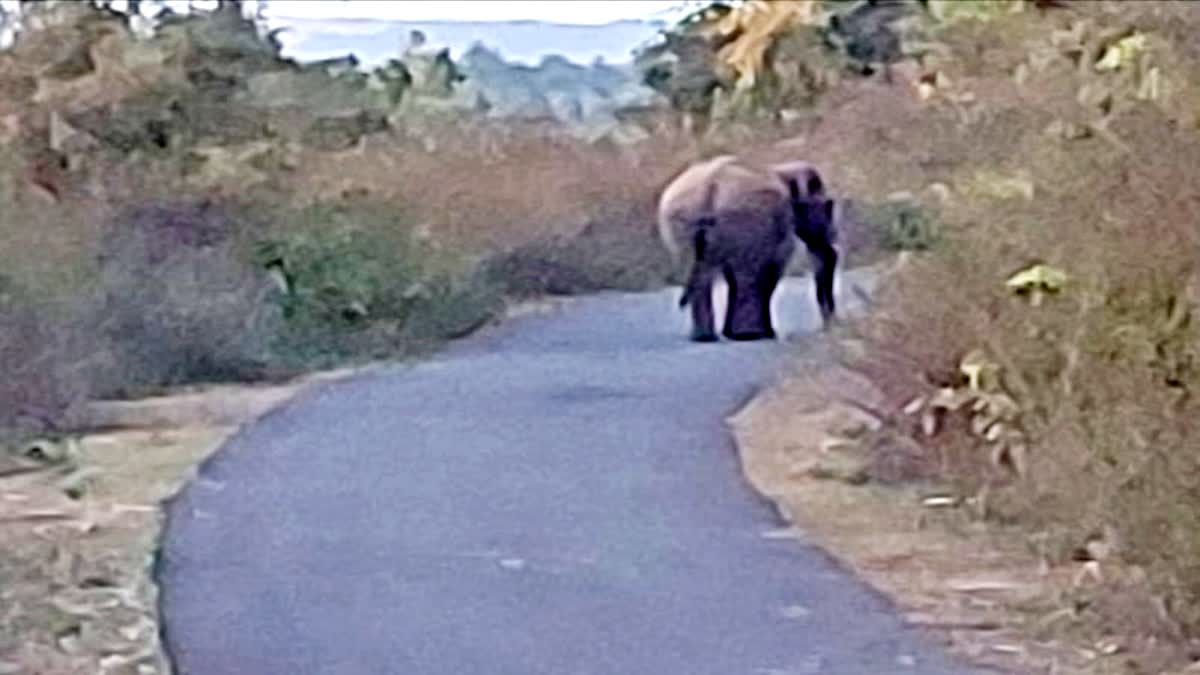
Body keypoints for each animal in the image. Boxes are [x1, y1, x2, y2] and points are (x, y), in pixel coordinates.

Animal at [652, 153, 840, 341]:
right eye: (829, 205)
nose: (828, 325)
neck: (782, 170)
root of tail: (706, 187)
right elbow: (774, 265)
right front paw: (768, 333)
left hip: (682, 222)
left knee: (699, 271)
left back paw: (706, 337)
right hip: (745, 217)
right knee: (747, 272)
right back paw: (747, 335)